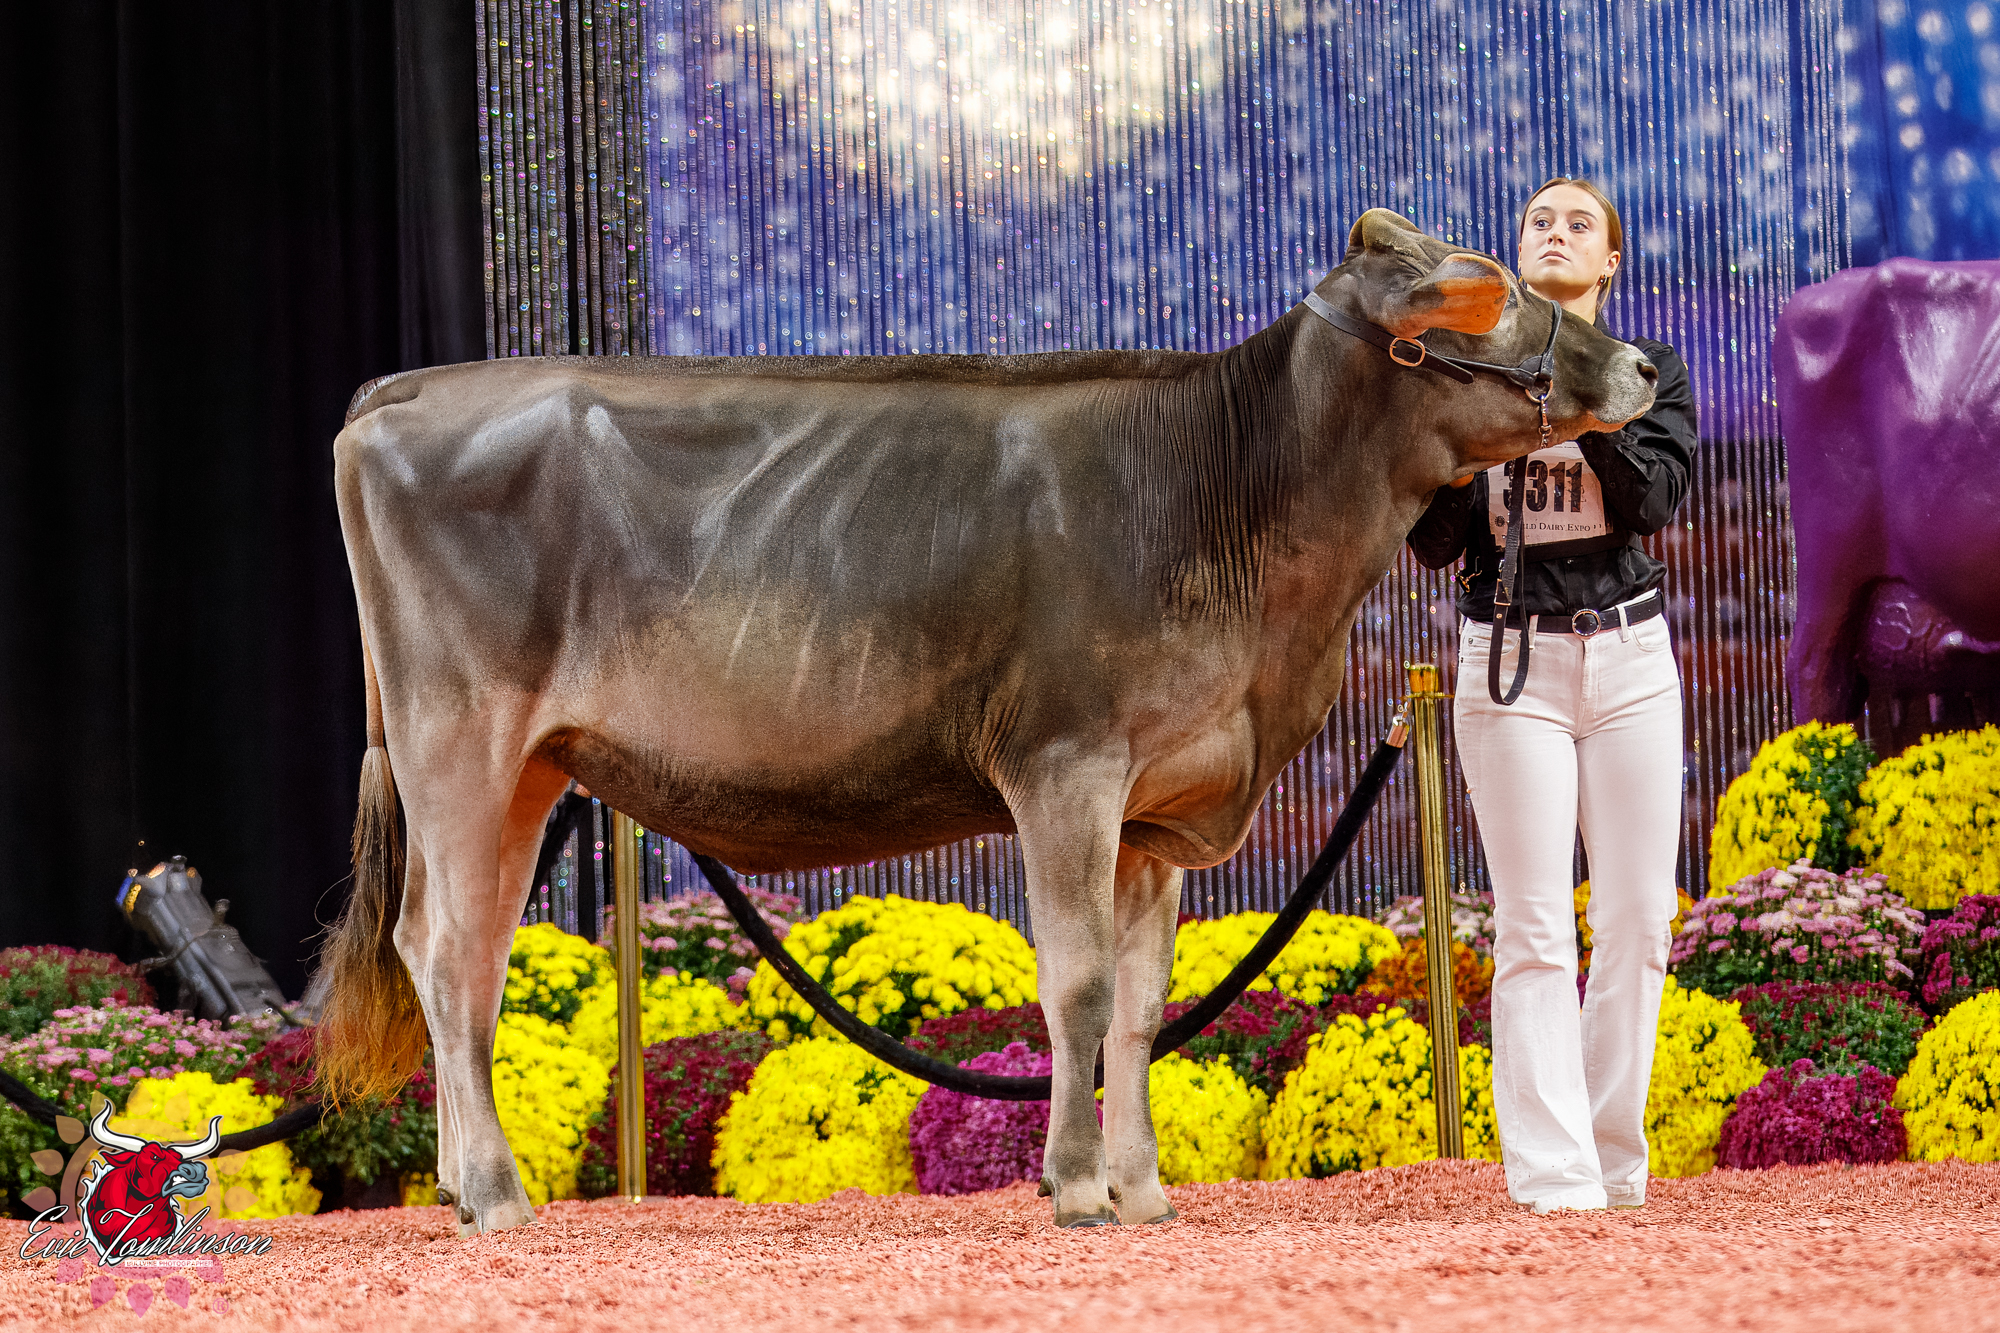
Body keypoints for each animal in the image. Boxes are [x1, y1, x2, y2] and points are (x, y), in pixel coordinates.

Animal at [314, 208, 1656, 1234]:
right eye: (1491, 294)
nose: (1644, 365)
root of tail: (405, 390)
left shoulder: (1157, 806)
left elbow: (1138, 1004)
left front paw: (1143, 1191)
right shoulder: (1066, 766)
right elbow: (1074, 988)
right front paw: (1075, 1188)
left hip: (528, 766)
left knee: (471, 952)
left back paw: (463, 1186)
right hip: (456, 737)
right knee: (441, 946)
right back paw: (494, 1194)